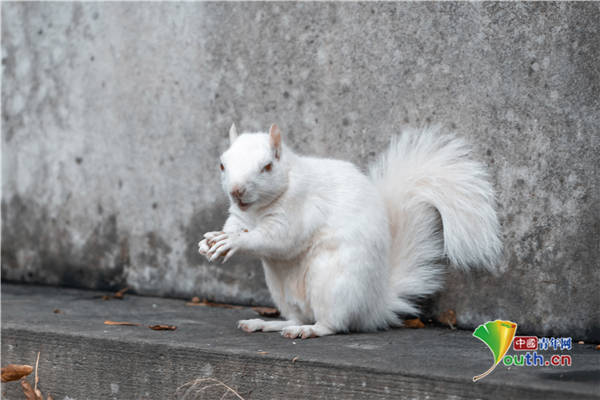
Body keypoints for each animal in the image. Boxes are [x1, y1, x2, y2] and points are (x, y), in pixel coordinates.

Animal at [198, 123, 502, 340]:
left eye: (267, 167)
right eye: (222, 164)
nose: (236, 191)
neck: (258, 210)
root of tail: (373, 306)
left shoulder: (299, 210)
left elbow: (278, 239)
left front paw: (234, 242)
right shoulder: (239, 215)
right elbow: (233, 226)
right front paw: (209, 242)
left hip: (330, 283)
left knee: (333, 324)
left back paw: (309, 330)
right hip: (282, 291)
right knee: (297, 316)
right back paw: (265, 323)